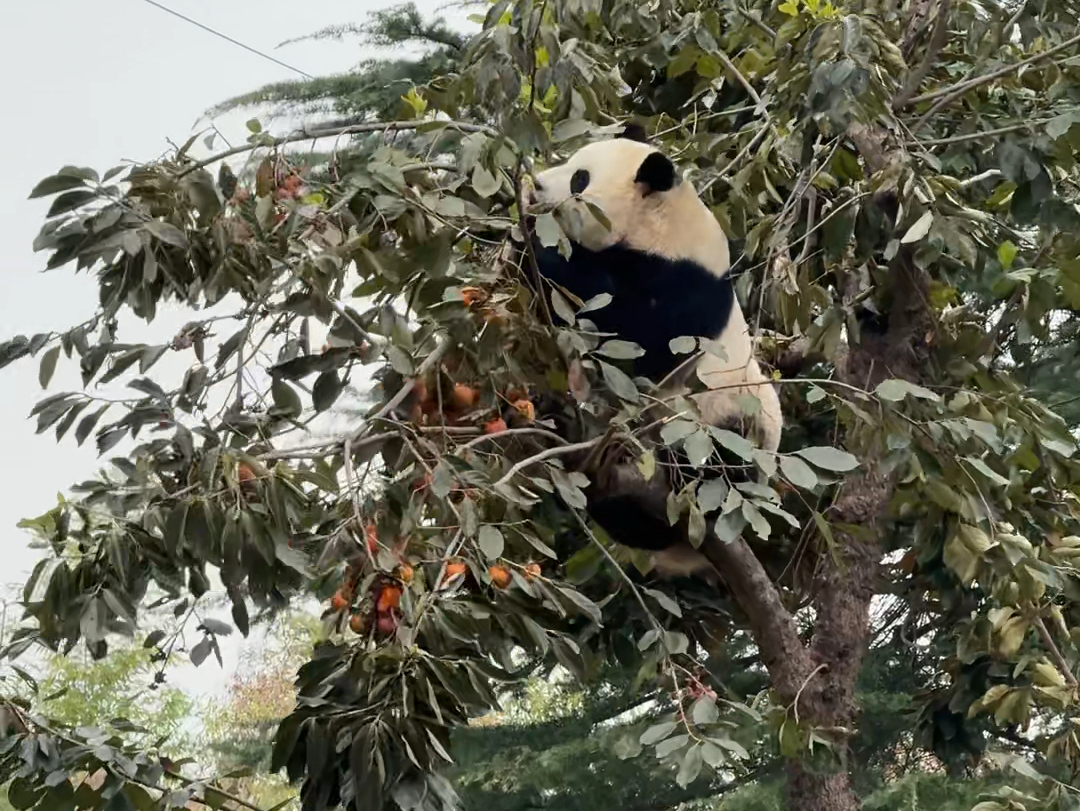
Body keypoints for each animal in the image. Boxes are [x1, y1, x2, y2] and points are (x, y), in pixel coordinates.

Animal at [527, 123, 781, 578]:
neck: (663, 224)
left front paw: (536, 247)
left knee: (721, 461)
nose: (535, 185)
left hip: (734, 422)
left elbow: (636, 341)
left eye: (580, 179)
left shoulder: (685, 290)